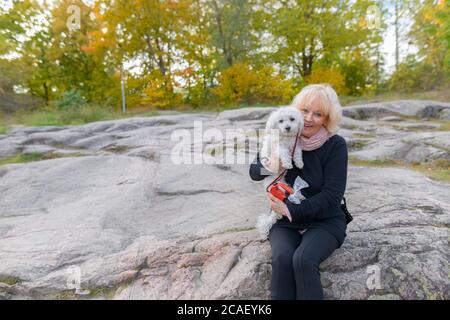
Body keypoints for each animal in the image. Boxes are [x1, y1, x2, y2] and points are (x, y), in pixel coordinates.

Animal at [256, 106, 306, 239]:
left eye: (292, 119)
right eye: (281, 121)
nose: (287, 127)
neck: (286, 138)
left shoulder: (295, 146)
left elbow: (298, 153)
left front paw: (299, 163)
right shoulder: (278, 147)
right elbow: (284, 153)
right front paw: (288, 163)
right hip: (276, 185)